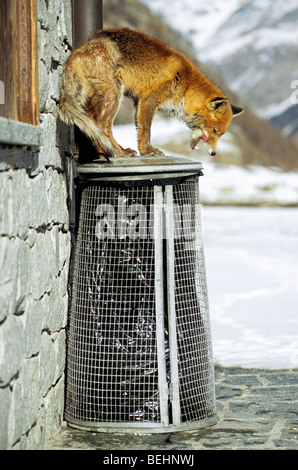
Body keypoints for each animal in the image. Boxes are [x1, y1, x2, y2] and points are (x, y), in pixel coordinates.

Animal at [57, 28, 242, 160]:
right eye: (214, 131)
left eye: (220, 134)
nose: (213, 154)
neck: (186, 87)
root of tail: (76, 52)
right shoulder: (149, 100)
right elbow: (146, 130)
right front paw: (147, 151)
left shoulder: (138, 101)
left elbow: (139, 130)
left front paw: (146, 150)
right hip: (113, 96)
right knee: (101, 126)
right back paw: (119, 152)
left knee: (91, 125)